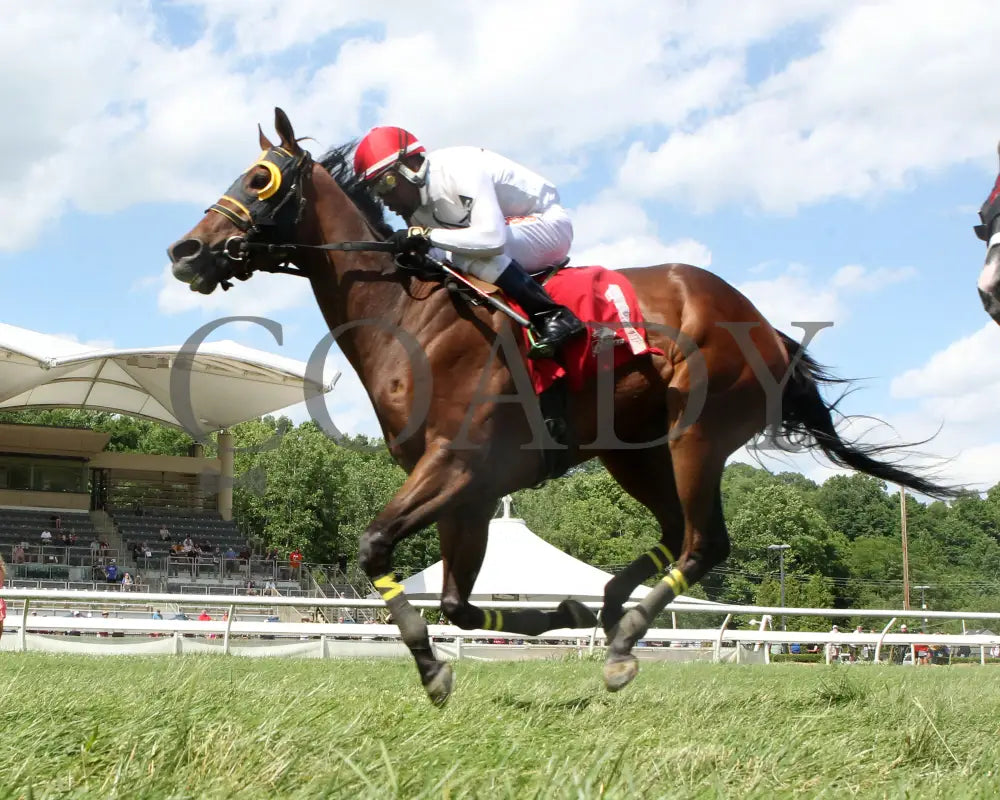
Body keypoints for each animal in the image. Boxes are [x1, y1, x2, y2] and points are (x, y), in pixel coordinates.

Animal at [168, 109, 956, 704]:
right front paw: (549, 617)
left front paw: (433, 665)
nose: (185, 250)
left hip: (696, 434)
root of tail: (768, 328)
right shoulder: (469, 489)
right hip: (634, 453)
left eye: (261, 178)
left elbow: (375, 547)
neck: (413, 316)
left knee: (705, 543)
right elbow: (457, 604)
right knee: (675, 533)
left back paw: (626, 638)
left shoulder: (457, 465)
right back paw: (608, 607)